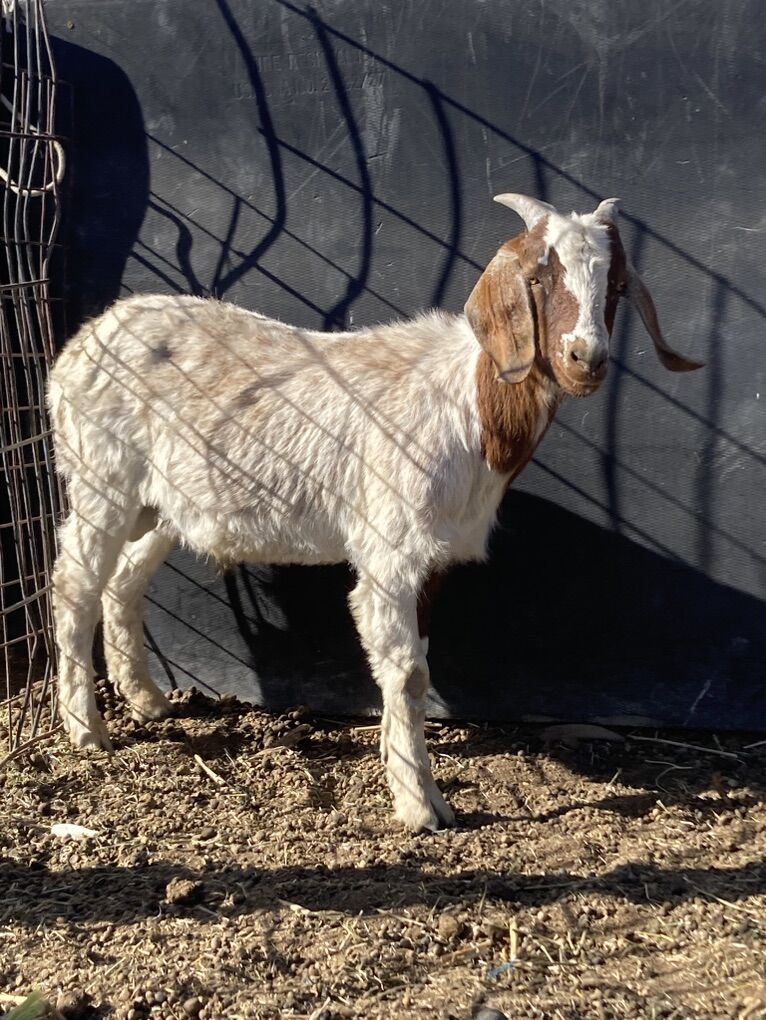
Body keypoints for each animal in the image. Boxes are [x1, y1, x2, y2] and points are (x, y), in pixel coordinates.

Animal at [48, 194, 702, 832]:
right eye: (538, 277)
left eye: (617, 285)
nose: (584, 358)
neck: (468, 407)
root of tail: (85, 339)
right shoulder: (393, 550)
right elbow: (408, 672)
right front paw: (420, 806)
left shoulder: (435, 557)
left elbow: (417, 670)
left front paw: (404, 772)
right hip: (100, 476)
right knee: (76, 584)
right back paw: (87, 729)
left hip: (162, 504)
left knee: (123, 582)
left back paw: (147, 700)